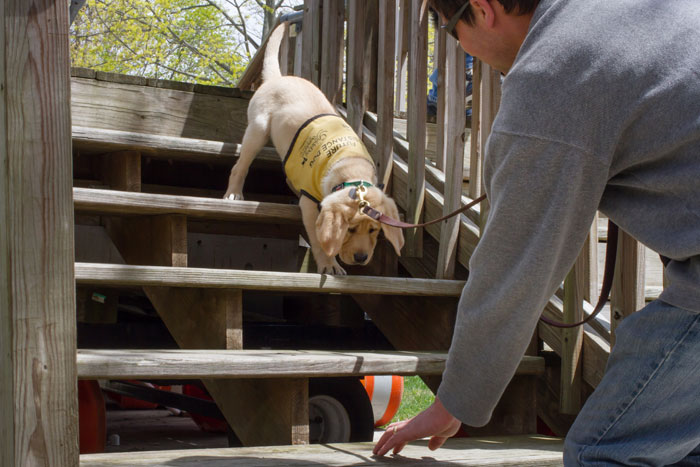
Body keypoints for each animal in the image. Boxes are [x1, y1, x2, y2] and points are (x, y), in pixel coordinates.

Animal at [223, 23, 400, 276]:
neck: (350, 166)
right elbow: (318, 239)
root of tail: (279, 78)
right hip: (258, 128)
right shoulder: (309, 205)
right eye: (350, 229)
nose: (361, 258)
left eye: (373, 230)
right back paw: (234, 193)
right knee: (240, 165)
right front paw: (329, 264)